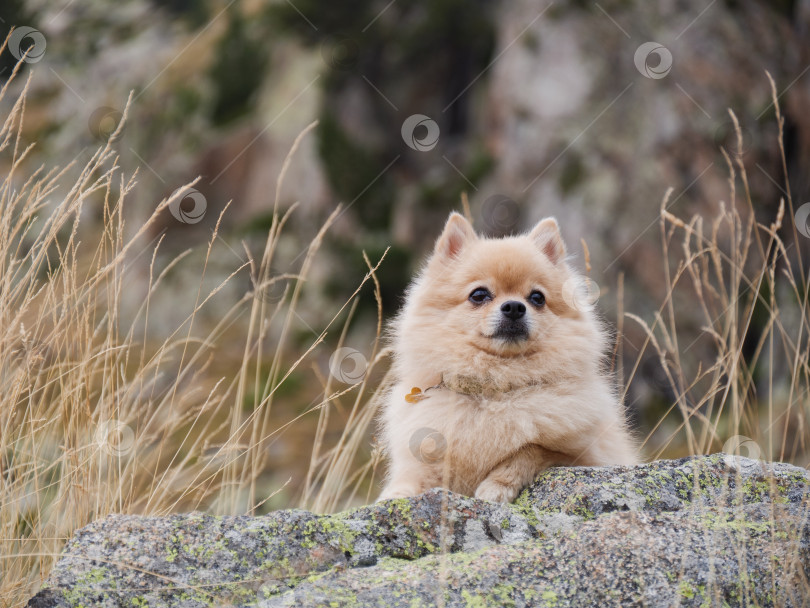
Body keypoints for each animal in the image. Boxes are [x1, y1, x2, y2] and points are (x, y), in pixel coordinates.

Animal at [378, 211, 636, 502]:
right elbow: (411, 479)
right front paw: (394, 496)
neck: (494, 388)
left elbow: (529, 451)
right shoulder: (425, 457)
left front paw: (496, 485)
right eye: (479, 295)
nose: (514, 307)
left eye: (537, 298)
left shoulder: (585, 456)